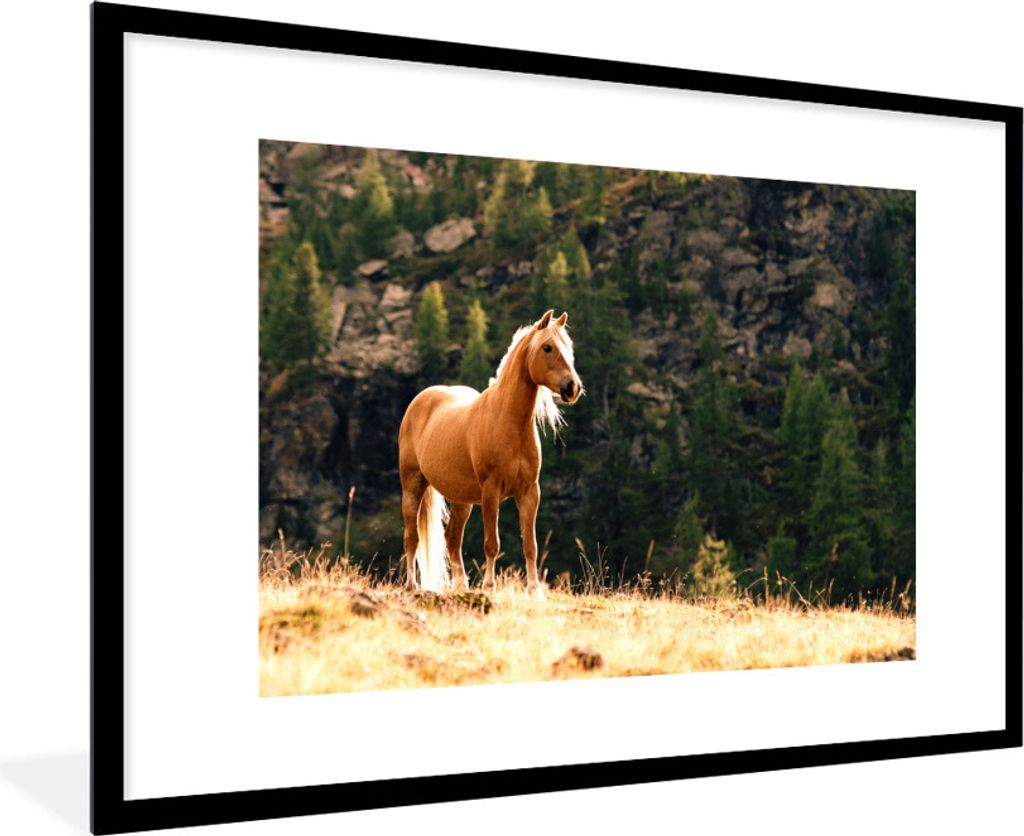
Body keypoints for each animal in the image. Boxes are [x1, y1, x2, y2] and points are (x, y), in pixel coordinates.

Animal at [397, 309, 583, 597]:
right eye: (548, 347)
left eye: (569, 348)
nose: (572, 387)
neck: (508, 423)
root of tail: (420, 401)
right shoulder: (491, 491)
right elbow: (492, 543)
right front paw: (489, 586)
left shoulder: (530, 492)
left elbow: (530, 544)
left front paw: (535, 591)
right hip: (413, 485)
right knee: (411, 537)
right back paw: (411, 585)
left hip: (461, 499)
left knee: (452, 538)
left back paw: (461, 586)